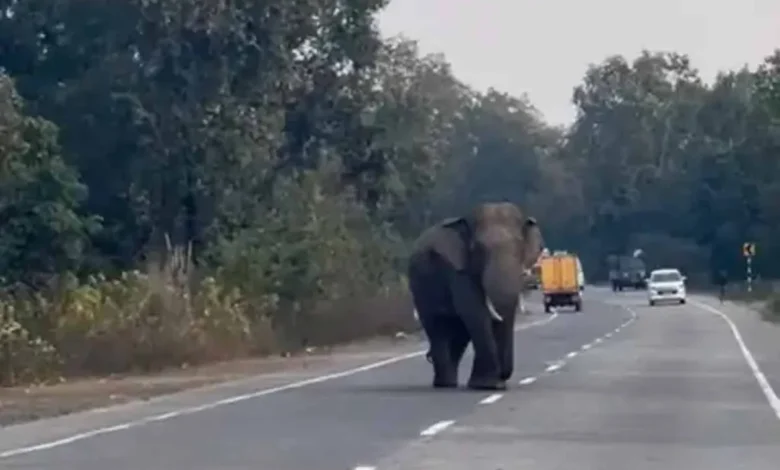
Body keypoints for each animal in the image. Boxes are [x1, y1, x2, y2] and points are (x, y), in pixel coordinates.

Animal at [408, 201, 544, 390]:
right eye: (478, 249)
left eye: (519, 246)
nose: (504, 375)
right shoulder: (459, 270)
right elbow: (475, 312)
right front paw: (488, 385)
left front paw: (491, 384)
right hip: (420, 286)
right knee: (437, 326)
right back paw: (445, 383)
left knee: (459, 330)